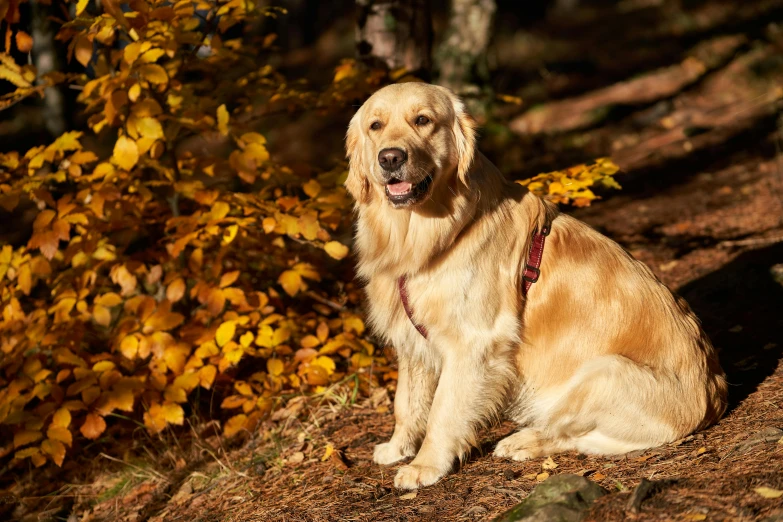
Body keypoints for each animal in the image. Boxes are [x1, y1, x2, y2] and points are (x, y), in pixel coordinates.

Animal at [344, 81, 728, 488]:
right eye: (375, 125)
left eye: (422, 120)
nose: (390, 158)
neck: (428, 234)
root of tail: (715, 395)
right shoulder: (412, 341)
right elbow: (406, 402)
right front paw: (398, 447)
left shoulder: (473, 343)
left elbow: (442, 410)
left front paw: (425, 465)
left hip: (603, 371)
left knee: (569, 434)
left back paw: (523, 441)